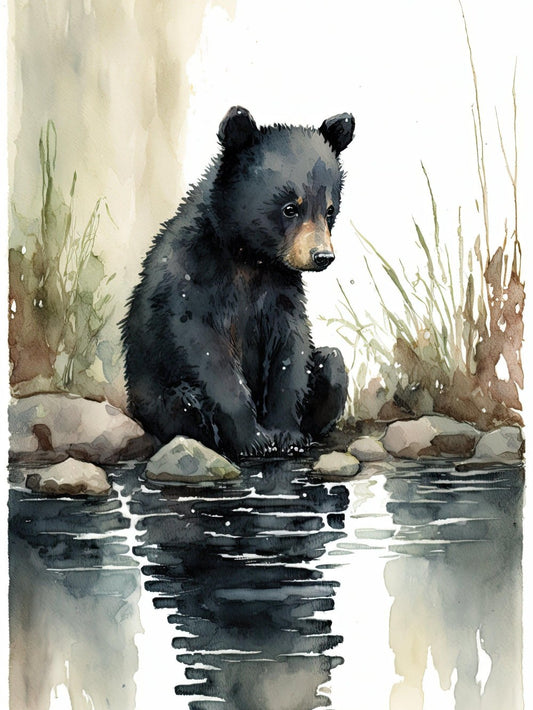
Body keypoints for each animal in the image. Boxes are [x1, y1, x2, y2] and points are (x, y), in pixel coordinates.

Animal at [121, 106, 354, 461]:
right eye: (290, 208)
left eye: (329, 211)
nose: (322, 256)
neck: (249, 257)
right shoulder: (190, 278)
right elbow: (206, 351)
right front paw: (253, 439)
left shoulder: (280, 287)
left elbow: (291, 348)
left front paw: (287, 435)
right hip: (152, 398)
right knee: (183, 400)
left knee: (332, 362)